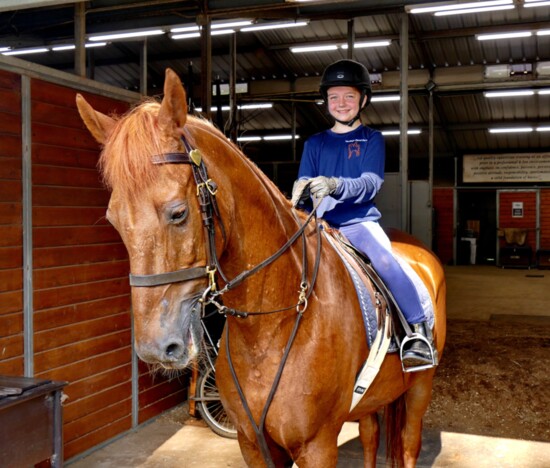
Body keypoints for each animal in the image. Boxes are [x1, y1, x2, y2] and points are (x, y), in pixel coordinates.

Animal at [76, 67, 448, 466]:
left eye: (178, 213)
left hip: (419, 389)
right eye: (113, 220)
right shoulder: (252, 442)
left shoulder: (318, 445)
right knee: (369, 436)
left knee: (408, 444)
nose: (156, 349)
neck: (269, 327)